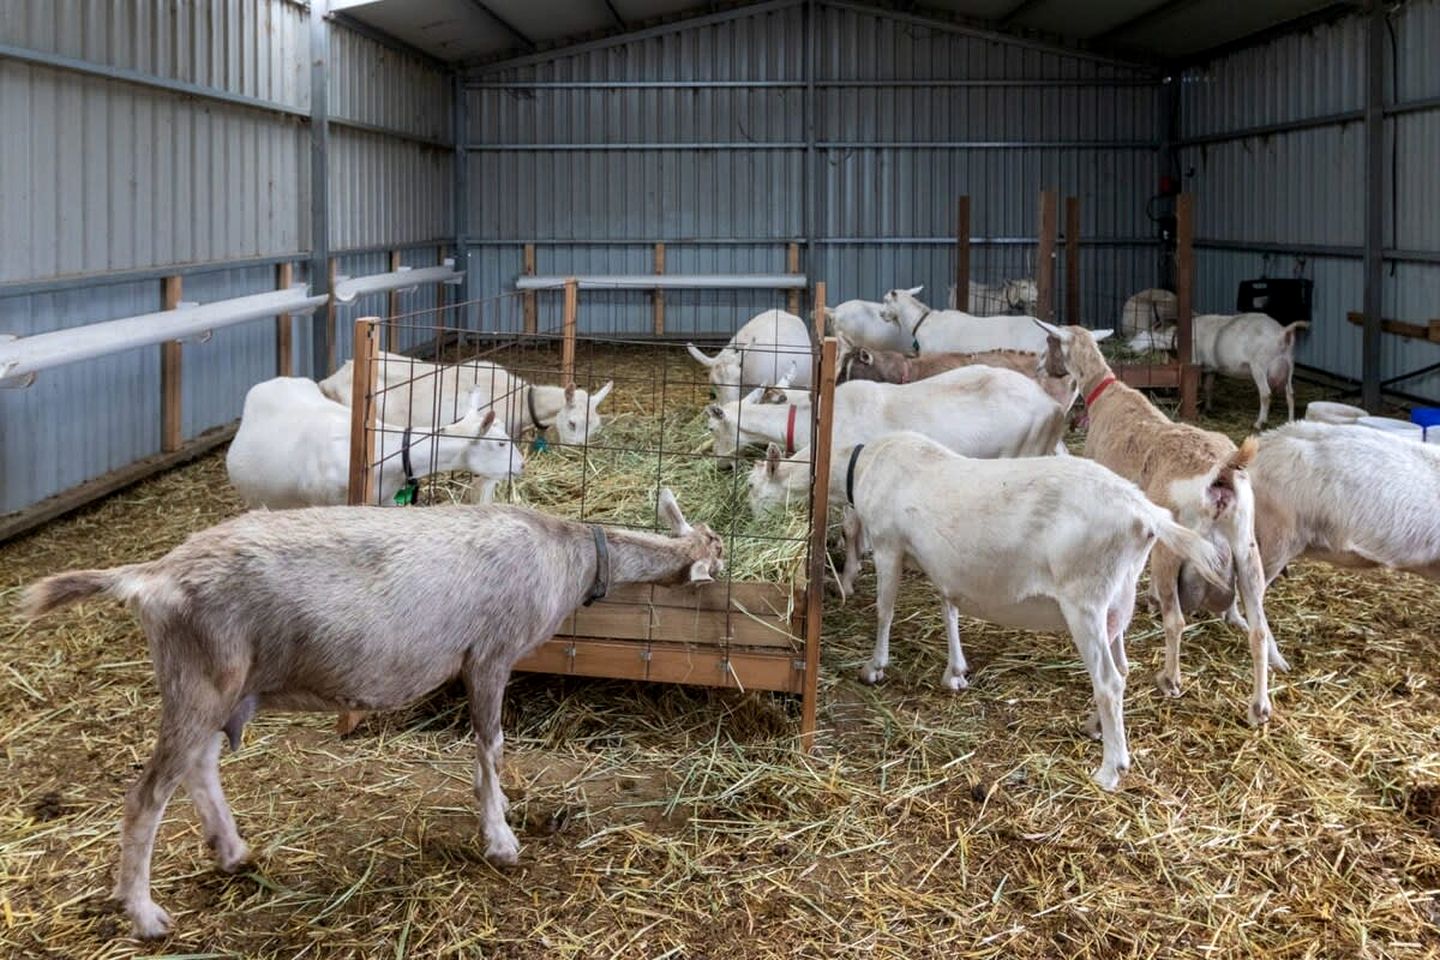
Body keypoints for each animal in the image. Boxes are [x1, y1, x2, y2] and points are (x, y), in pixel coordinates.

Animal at [20, 490, 723, 940]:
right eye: (717, 551)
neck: (569, 553)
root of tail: (151, 575)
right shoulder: (491, 654)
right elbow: (490, 747)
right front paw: (501, 840)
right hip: (200, 677)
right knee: (146, 796)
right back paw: (146, 916)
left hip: (223, 684)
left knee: (198, 766)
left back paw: (232, 851)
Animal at [843, 431, 1225, 790]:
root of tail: (1143, 512)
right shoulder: (942, 569)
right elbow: (948, 608)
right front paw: (955, 672)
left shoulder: (888, 545)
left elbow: (885, 609)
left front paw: (874, 667)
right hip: (1118, 598)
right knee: (1122, 667)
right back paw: (1094, 728)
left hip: (1084, 599)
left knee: (1108, 680)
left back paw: (1109, 770)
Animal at [1038, 320, 1285, 726]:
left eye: (1049, 343)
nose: (1041, 367)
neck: (1106, 394)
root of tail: (1221, 475)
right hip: (1247, 552)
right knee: (1259, 630)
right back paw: (1260, 706)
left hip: (1176, 550)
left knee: (1177, 621)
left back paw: (1170, 679)